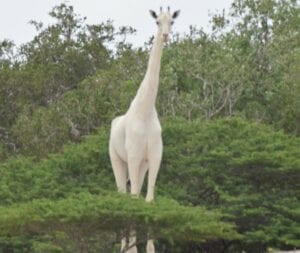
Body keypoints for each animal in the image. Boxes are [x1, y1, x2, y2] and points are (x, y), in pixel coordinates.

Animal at [110, 6, 180, 252]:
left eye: (172, 22)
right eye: (157, 21)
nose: (165, 36)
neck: (146, 110)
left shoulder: (154, 156)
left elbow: (148, 200)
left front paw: (149, 248)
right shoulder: (132, 156)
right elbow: (132, 199)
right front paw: (132, 248)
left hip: (141, 165)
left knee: (136, 193)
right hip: (117, 159)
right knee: (123, 194)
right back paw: (124, 245)